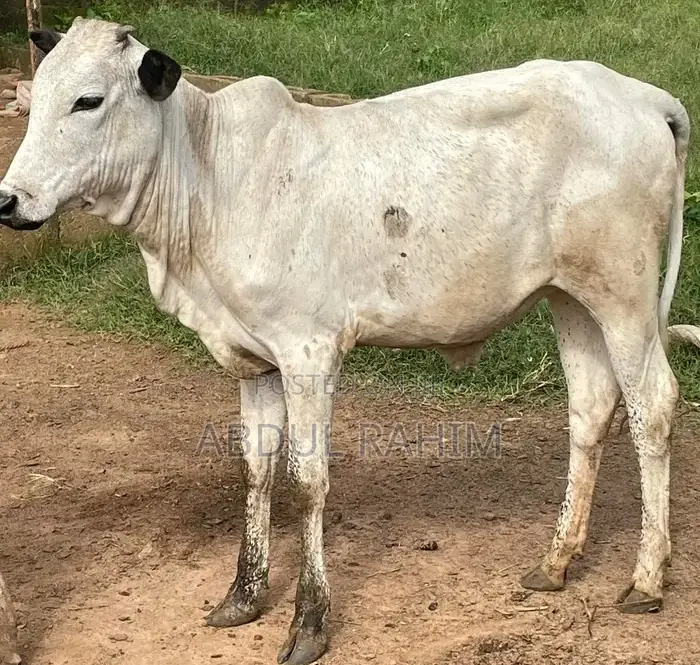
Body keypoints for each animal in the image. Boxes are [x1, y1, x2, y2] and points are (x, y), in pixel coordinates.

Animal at [0, 18, 690, 665]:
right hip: (569, 297)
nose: (9, 200)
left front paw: (309, 621)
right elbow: (256, 468)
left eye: (88, 101)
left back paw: (646, 578)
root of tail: (643, 95)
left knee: (652, 404)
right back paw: (556, 561)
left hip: (624, 294)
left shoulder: (308, 351)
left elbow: (307, 480)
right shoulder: (253, 361)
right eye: (38, 98)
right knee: (591, 406)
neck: (209, 179)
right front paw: (243, 595)